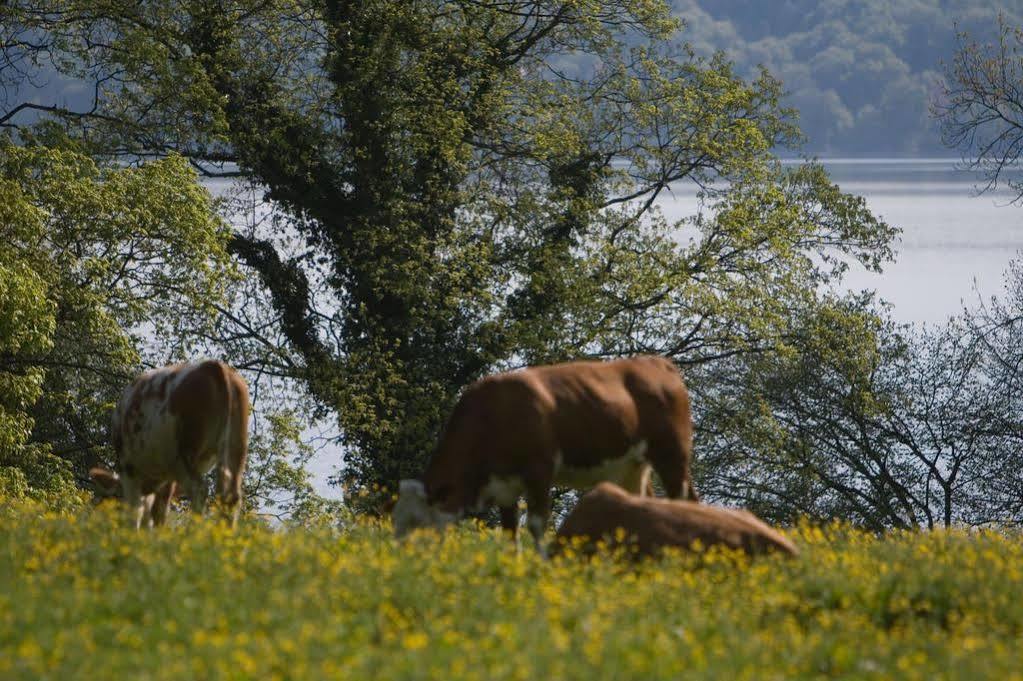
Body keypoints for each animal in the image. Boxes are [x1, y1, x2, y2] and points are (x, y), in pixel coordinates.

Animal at [100, 357, 249, 527]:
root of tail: (215, 367)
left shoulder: (129, 468)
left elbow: (136, 512)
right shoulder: (166, 477)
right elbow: (157, 511)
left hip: (185, 452)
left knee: (198, 490)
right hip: (236, 444)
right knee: (230, 496)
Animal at [388, 355, 695, 552]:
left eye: (417, 522)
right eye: (396, 521)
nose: (403, 558)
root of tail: (657, 362)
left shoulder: (539, 470)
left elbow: (536, 525)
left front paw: (541, 563)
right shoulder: (504, 486)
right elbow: (509, 532)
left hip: (672, 455)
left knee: (682, 501)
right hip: (632, 466)